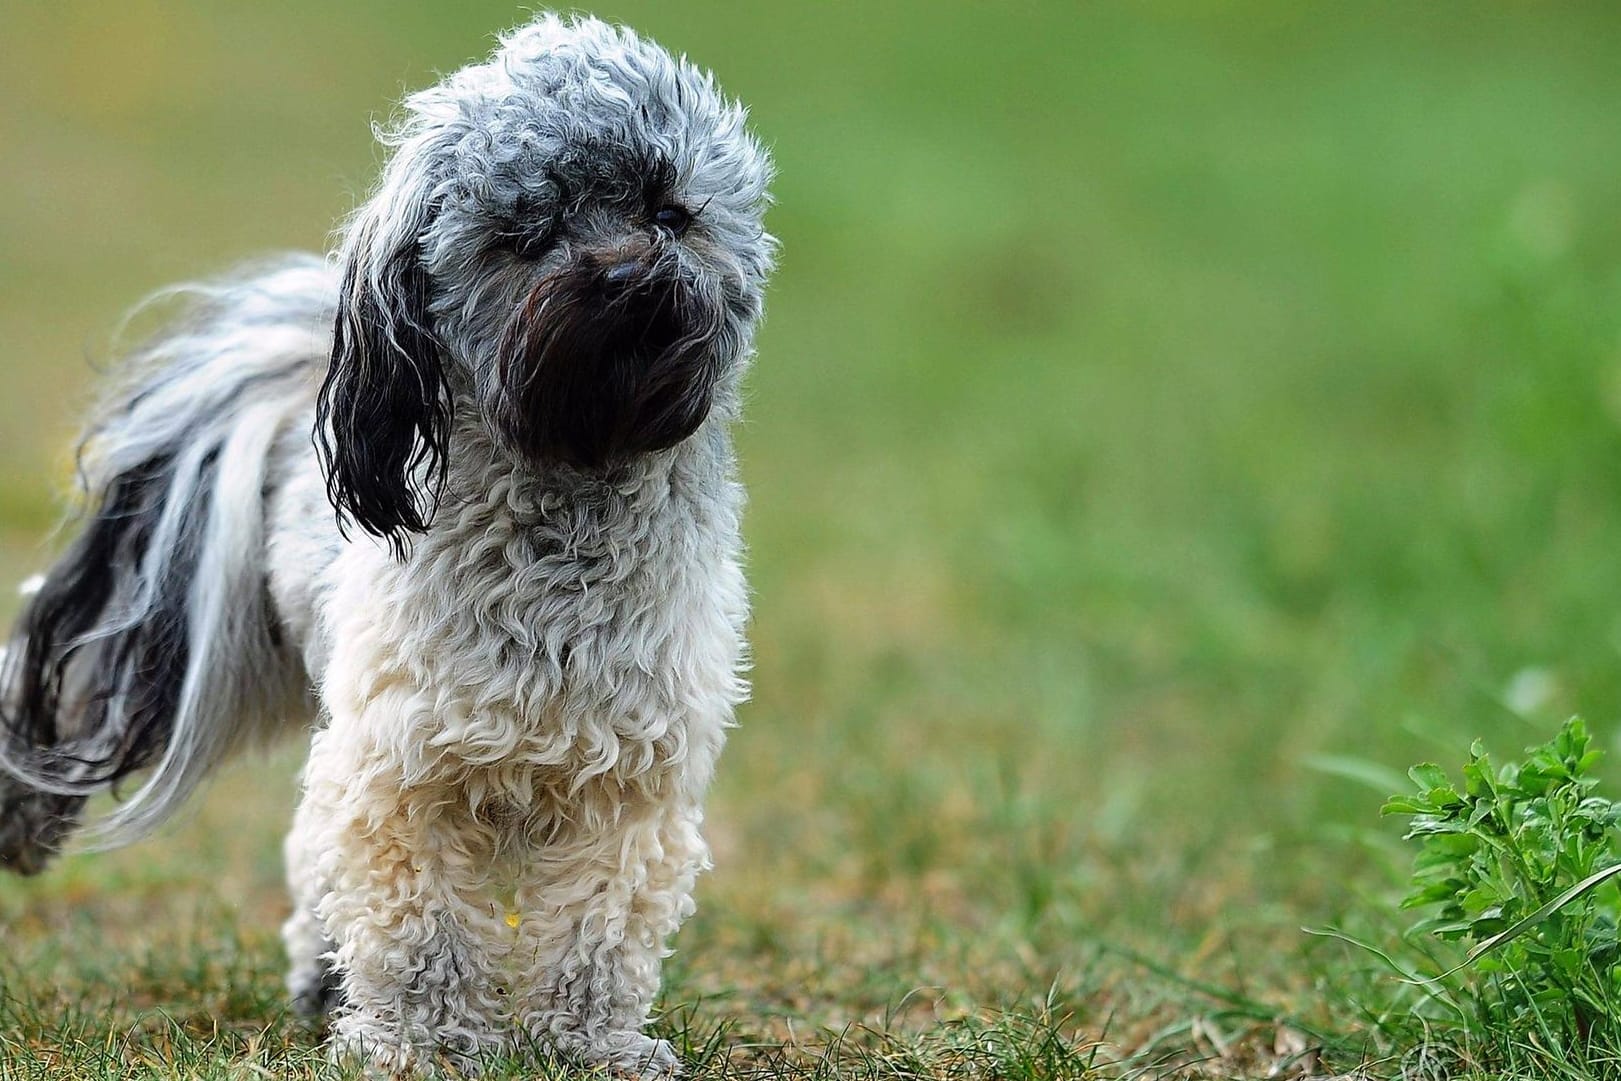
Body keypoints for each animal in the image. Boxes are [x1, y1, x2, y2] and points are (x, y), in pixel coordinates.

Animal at [0, 12, 778, 1076]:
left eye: (670, 210)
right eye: (528, 233)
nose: (627, 277)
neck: (566, 505)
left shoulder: (629, 783)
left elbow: (600, 929)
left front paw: (592, 1045)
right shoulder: (404, 770)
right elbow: (420, 926)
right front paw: (422, 1043)